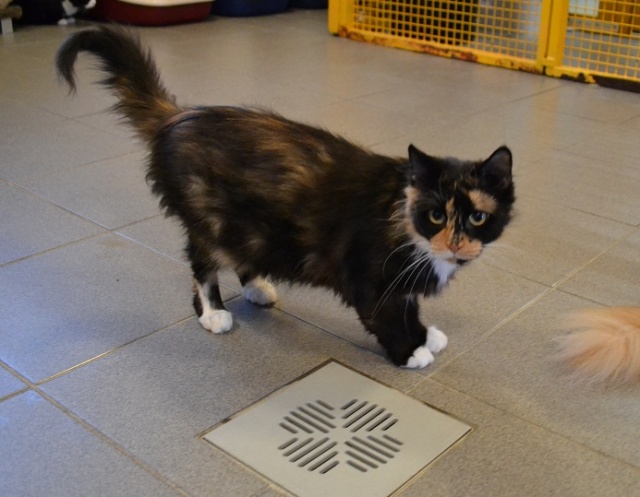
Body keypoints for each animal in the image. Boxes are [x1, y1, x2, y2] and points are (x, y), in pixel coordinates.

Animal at [56, 26, 515, 369]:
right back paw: (212, 312)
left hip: (253, 226)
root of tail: (180, 116)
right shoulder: (367, 277)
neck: (405, 223)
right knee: (202, 265)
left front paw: (424, 335)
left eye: (477, 218)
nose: (455, 242)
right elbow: (385, 314)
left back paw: (258, 287)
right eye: (436, 215)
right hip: (211, 219)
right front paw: (411, 351)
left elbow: (409, 306)